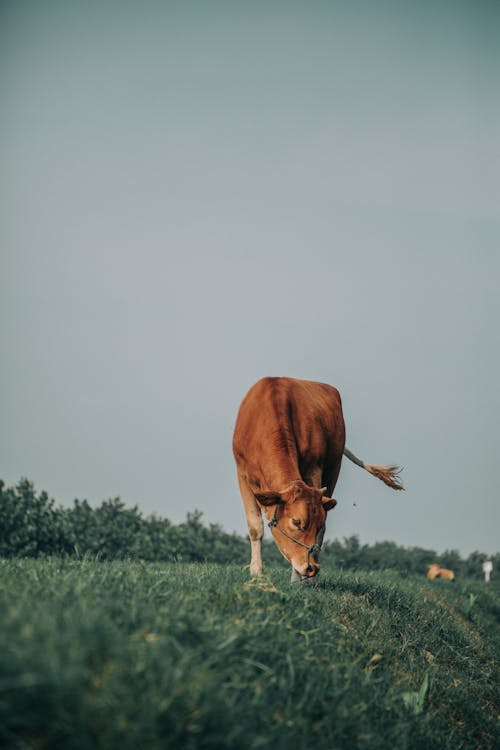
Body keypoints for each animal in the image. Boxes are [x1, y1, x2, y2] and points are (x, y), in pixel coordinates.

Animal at [232, 378, 404, 584]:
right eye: (296, 522)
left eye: (318, 523)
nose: (311, 568)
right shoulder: (242, 474)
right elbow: (255, 526)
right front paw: (257, 573)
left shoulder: (314, 467)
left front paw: (297, 578)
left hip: (334, 468)